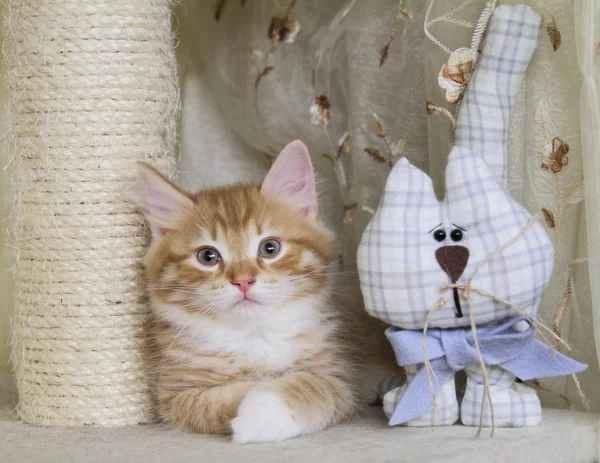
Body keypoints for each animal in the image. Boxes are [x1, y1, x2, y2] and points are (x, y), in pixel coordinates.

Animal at [134, 140, 368, 442]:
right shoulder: (174, 393)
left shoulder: (340, 377)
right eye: (207, 256)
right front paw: (255, 393)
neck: (253, 335)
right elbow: (217, 399)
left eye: (270, 248)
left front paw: (265, 411)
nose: (243, 280)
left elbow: (316, 387)